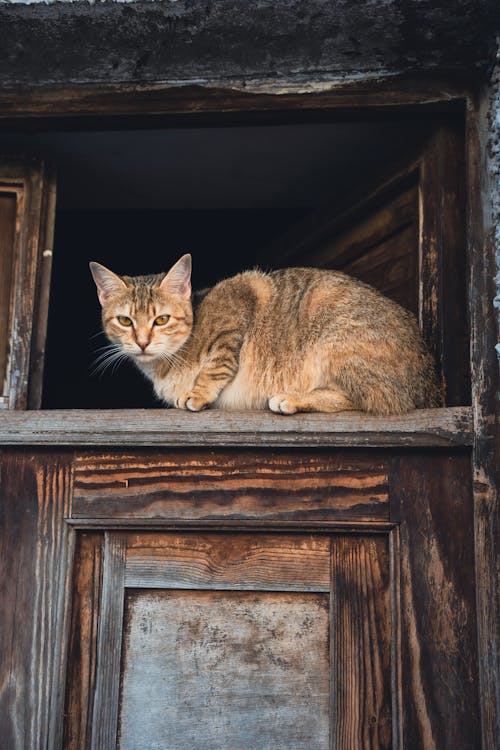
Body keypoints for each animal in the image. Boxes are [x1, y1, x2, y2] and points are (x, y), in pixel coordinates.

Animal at [90, 256, 438, 414]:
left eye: (161, 319)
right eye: (125, 320)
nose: (142, 341)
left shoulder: (242, 294)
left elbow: (216, 364)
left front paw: (198, 393)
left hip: (337, 341)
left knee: (372, 400)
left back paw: (293, 398)